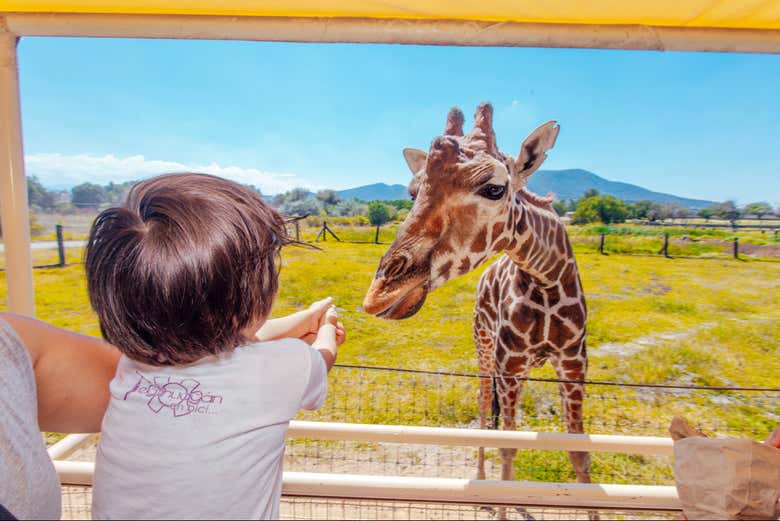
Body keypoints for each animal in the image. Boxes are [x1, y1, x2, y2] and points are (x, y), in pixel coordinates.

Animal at [363, 102, 592, 488]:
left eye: (495, 188)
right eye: (412, 192)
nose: (380, 293)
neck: (546, 279)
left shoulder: (575, 364)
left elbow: (579, 453)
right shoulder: (509, 365)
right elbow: (508, 446)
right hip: (484, 346)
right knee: (484, 401)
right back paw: (482, 475)